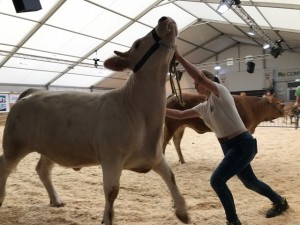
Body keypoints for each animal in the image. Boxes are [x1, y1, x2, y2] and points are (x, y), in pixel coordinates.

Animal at [0, 16, 189, 224]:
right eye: (138, 44)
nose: (163, 18)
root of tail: (32, 92)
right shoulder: (111, 158)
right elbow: (112, 192)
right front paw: (107, 218)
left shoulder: (153, 155)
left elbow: (171, 177)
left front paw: (182, 211)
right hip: (14, 145)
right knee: (4, 168)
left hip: (49, 147)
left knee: (42, 169)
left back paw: (56, 199)